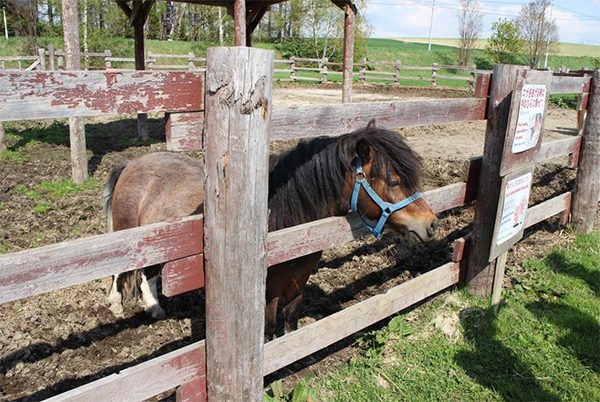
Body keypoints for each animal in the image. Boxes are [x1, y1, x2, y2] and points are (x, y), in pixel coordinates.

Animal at [103, 121, 436, 338]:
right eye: (393, 181)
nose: (431, 223)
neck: (284, 226)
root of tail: (132, 163)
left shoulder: (298, 284)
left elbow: (289, 324)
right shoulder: (267, 294)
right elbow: (267, 331)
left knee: (149, 274)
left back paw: (154, 308)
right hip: (127, 237)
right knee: (121, 272)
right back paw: (117, 306)